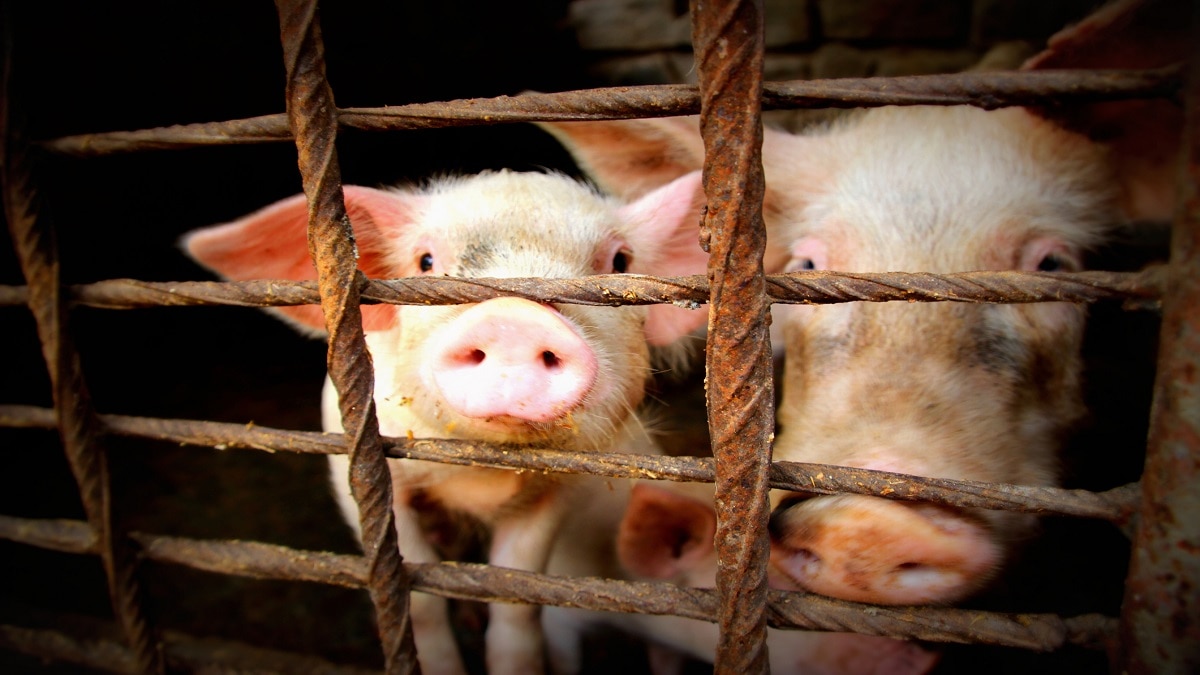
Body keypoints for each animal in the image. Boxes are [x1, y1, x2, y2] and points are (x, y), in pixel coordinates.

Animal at [182, 168, 710, 675]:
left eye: (620, 262)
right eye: (425, 262)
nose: (514, 318)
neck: (480, 472)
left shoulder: (562, 487)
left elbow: (518, 596)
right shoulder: (356, 463)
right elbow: (419, 599)